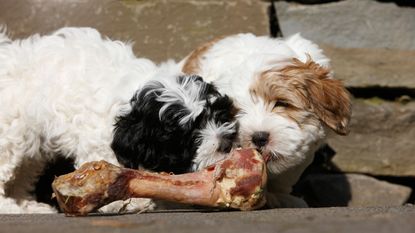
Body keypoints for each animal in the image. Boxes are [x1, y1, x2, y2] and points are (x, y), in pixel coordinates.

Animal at [0, 27, 239, 213]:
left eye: (218, 115)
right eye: (189, 135)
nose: (225, 142)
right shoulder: (99, 142)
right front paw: (127, 202)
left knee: (23, 173)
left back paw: (27, 205)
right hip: (9, 135)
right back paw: (10, 208)